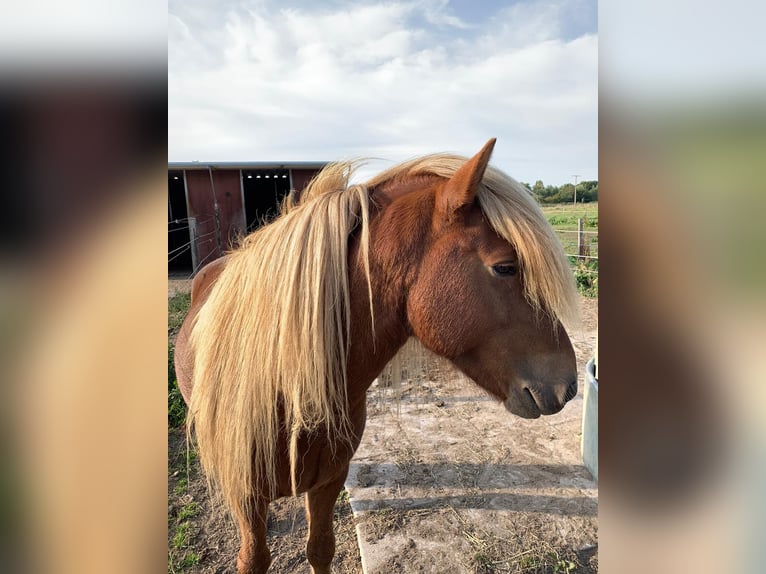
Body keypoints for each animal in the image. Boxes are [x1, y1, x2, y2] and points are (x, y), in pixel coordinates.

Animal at [176, 141, 584, 574]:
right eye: (505, 267)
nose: (568, 385)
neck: (287, 394)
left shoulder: (329, 480)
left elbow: (320, 548)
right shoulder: (247, 498)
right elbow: (253, 559)